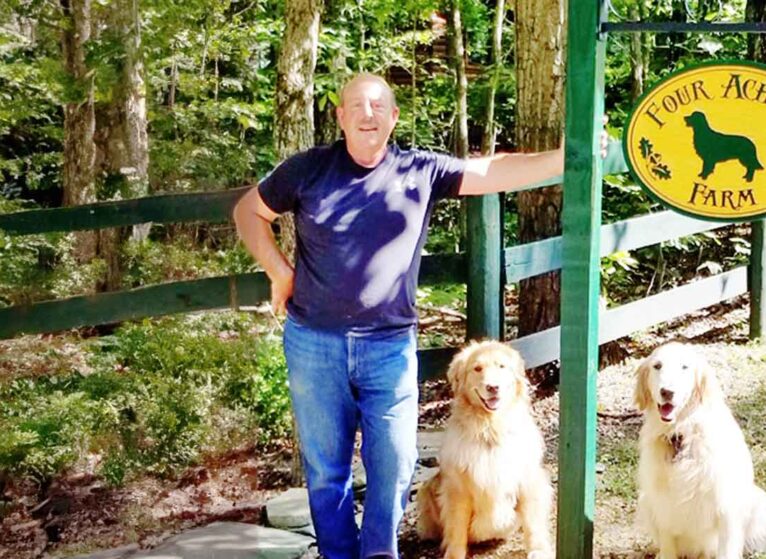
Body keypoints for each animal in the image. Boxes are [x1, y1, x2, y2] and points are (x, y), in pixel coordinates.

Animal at [416, 342, 556, 559]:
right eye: (477, 368)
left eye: (501, 366)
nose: (493, 387)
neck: (490, 428)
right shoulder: (457, 487)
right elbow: (457, 526)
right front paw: (455, 553)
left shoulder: (528, 479)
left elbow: (531, 522)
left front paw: (538, 550)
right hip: (426, 489)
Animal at [640, 344, 766, 556]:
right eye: (657, 366)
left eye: (685, 367)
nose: (667, 392)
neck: (681, 433)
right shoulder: (662, 505)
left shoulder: (727, 505)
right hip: (645, 502)